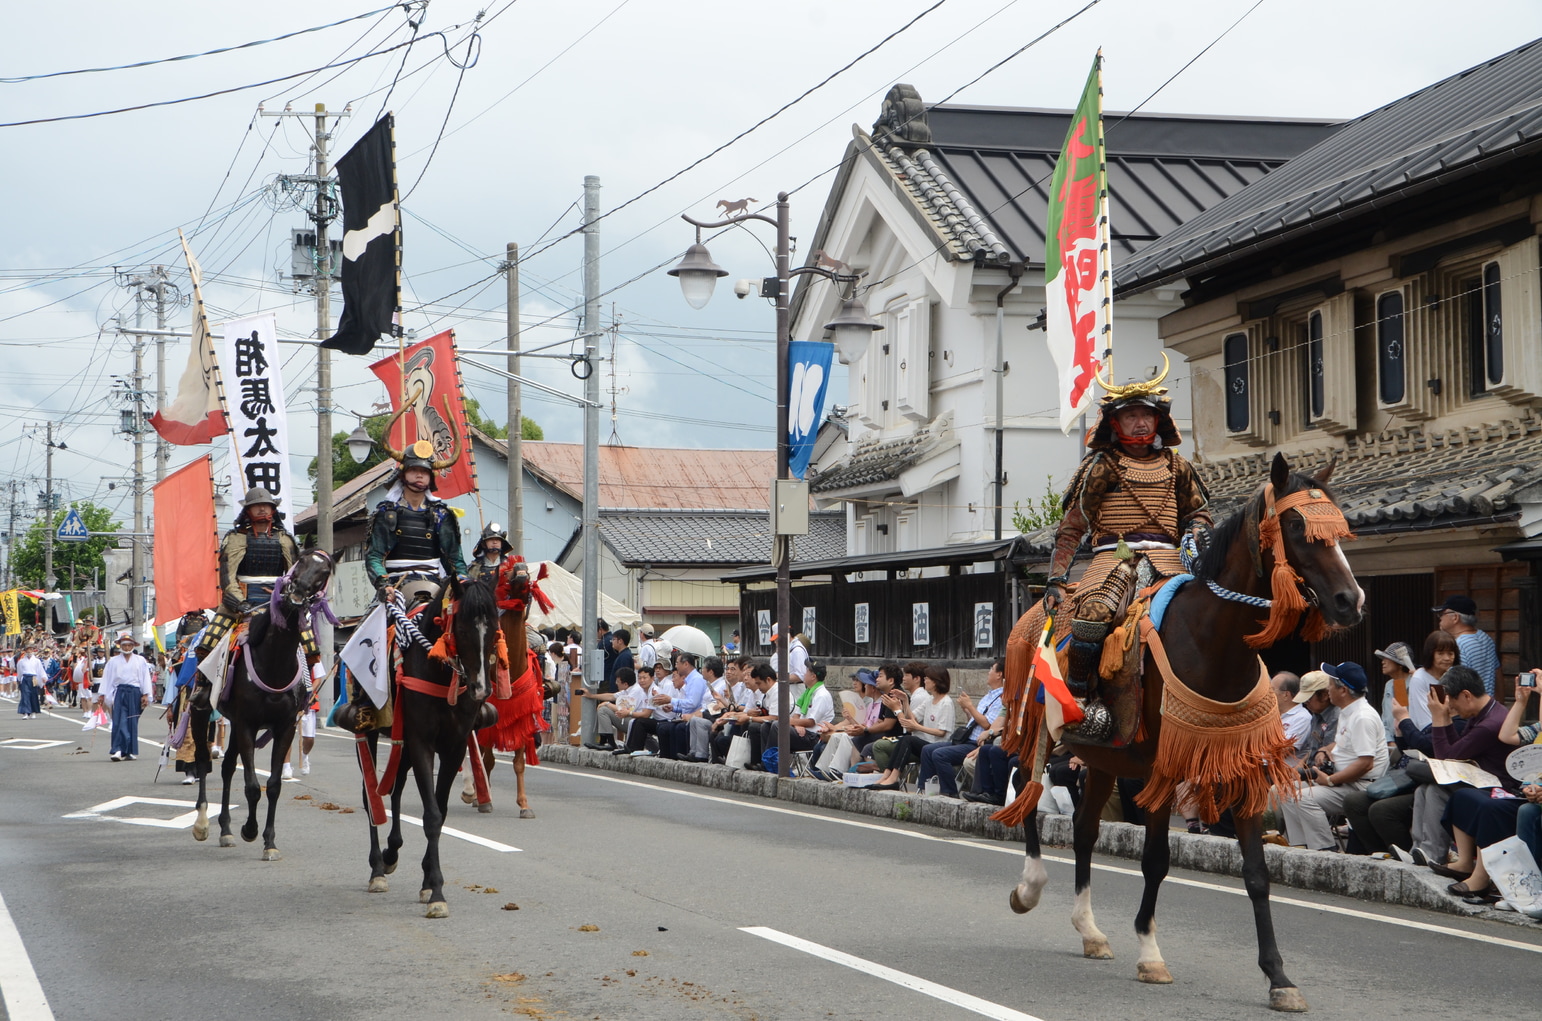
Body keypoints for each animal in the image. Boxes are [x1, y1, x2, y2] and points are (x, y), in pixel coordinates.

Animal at [190, 549, 334, 857]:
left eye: (324, 572)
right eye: (300, 562)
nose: (297, 593)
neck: (273, 662)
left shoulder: (284, 726)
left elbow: (274, 785)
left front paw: (269, 842)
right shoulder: (247, 724)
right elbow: (253, 786)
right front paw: (250, 830)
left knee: (227, 767)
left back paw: (226, 829)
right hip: (201, 710)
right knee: (203, 760)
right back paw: (202, 822)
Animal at [357, 576, 496, 919]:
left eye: (494, 628)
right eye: (462, 629)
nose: (480, 689)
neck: (441, 673)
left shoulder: (454, 745)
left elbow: (440, 812)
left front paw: (427, 879)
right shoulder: (422, 741)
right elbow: (431, 816)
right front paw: (436, 892)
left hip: (403, 743)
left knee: (395, 789)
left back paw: (391, 853)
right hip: (370, 729)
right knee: (370, 798)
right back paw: (377, 869)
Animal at [1011, 456, 1363, 1017]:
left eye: (1340, 526)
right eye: (1295, 526)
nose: (1350, 600)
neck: (1214, 642)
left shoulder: (1241, 764)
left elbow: (1257, 873)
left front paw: (1279, 978)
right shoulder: (1164, 765)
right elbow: (1156, 860)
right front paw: (1151, 956)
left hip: (1106, 759)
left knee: (1085, 830)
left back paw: (1090, 931)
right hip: (1035, 728)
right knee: (1026, 790)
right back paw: (1030, 887)